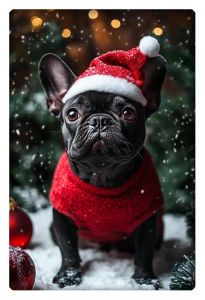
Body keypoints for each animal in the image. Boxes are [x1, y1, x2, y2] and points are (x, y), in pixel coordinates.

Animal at [38, 46, 167, 288]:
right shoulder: (61, 218)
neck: (102, 173)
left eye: (128, 113)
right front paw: (68, 277)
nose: (99, 120)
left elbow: (144, 251)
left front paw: (144, 279)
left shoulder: (148, 219)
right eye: (72, 114)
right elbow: (68, 249)